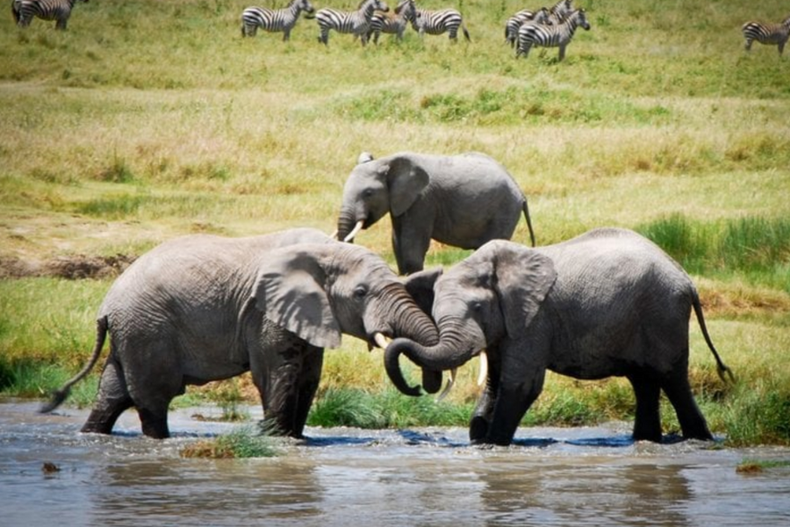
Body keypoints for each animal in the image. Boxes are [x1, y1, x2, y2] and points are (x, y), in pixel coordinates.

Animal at [41, 228, 440, 439]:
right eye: (360, 293)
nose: (420, 388)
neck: (325, 249)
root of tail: (106, 304)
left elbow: (308, 376)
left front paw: (296, 439)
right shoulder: (264, 312)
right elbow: (278, 373)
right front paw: (276, 441)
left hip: (133, 331)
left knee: (112, 395)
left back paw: (92, 434)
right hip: (147, 329)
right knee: (152, 396)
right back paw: (159, 440)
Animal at [335, 151, 536, 275]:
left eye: (368, 193)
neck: (388, 161)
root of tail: (520, 191)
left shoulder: (423, 200)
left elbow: (412, 241)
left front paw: (413, 275)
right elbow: (397, 240)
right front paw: (403, 275)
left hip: (505, 210)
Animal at [384, 228, 733, 446]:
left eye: (479, 308)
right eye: (434, 312)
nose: (419, 388)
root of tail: (686, 279)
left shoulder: (533, 318)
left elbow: (522, 384)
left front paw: (494, 442)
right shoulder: (508, 324)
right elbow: (495, 381)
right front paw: (478, 435)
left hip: (663, 313)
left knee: (671, 378)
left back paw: (699, 440)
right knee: (643, 381)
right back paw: (645, 441)